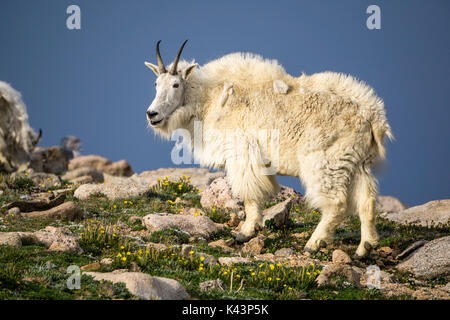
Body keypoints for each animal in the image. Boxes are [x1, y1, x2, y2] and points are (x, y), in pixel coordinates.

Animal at [144, 40, 390, 258]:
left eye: (175, 84)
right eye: (155, 84)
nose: (152, 114)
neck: (208, 99)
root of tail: (373, 117)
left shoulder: (242, 152)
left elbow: (249, 194)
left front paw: (245, 232)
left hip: (327, 161)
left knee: (335, 203)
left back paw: (314, 244)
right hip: (357, 163)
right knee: (367, 202)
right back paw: (364, 249)